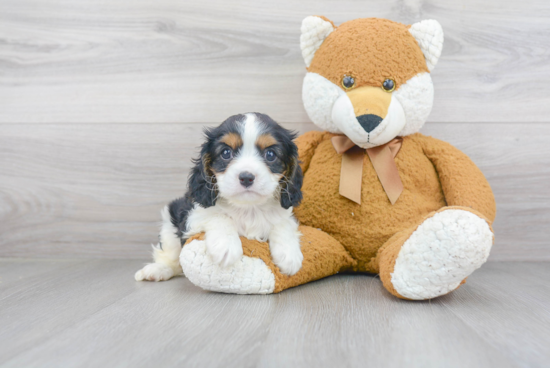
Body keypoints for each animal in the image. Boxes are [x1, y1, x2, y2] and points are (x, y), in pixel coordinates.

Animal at [135, 112, 304, 282]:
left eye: (270, 155)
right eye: (226, 153)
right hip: (170, 220)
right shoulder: (193, 216)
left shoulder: (285, 213)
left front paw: (289, 255)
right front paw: (226, 246)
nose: (246, 177)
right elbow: (218, 215)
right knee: (172, 258)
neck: (248, 207)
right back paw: (158, 269)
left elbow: (283, 222)